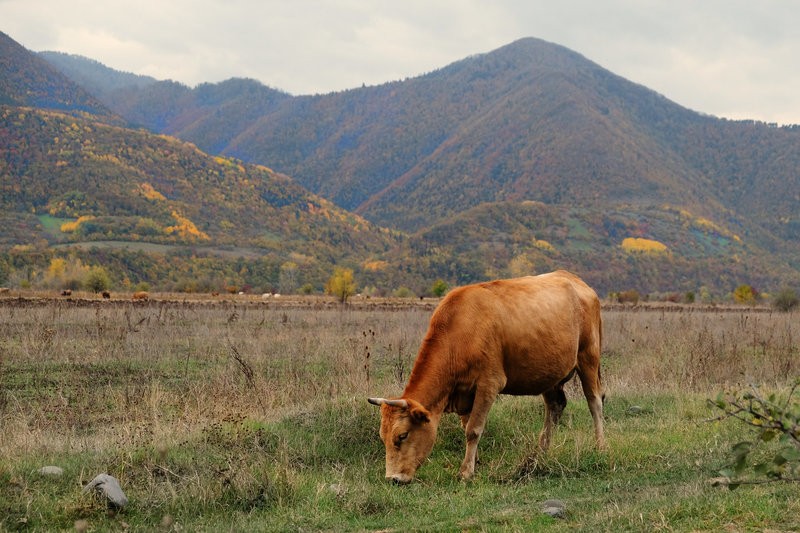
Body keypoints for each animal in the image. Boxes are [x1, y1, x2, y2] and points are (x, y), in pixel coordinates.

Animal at [366, 270, 604, 482]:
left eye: (402, 436)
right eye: (382, 437)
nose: (393, 478)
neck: (460, 332)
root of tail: (575, 280)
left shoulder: (489, 383)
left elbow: (473, 429)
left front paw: (466, 472)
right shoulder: (464, 391)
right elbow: (466, 426)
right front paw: (475, 462)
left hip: (588, 358)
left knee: (595, 402)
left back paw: (600, 445)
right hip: (550, 373)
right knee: (554, 407)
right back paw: (540, 453)